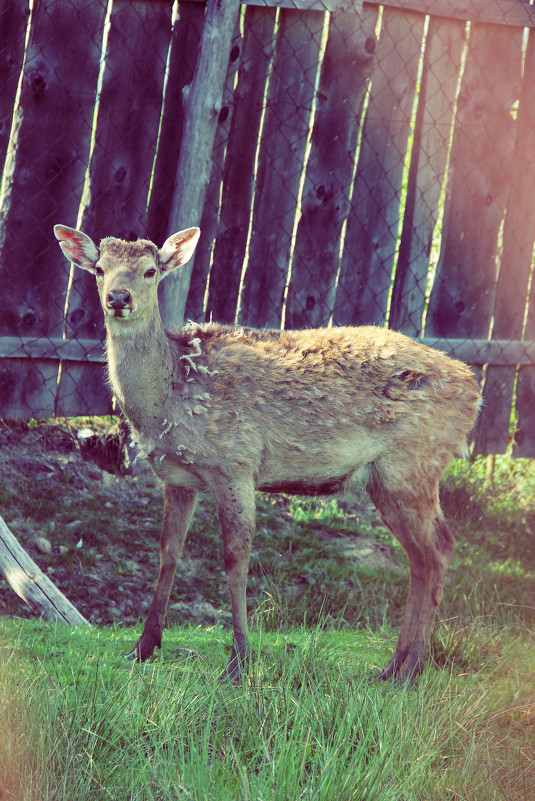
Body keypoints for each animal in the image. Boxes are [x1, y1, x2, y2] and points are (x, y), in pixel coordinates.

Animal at [54, 223, 482, 680]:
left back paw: (410, 667)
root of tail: (473, 388)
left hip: (413, 464)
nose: (119, 298)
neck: (169, 398)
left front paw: (239, 660)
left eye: (151, 271)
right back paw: (394, 665)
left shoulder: (236, 463)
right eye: (100, 269)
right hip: (388, 479)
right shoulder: (178, 477)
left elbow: (235, 557)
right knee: (422, 556)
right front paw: (143, 647)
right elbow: (168, 553)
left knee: (439, 549)